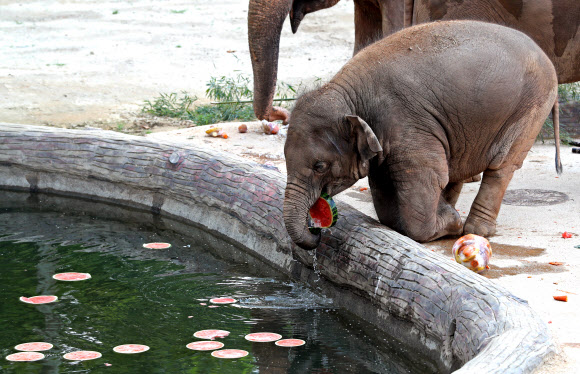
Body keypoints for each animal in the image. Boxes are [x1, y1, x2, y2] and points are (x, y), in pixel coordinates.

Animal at [284, 19, 560, 248]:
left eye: (319, 166)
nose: (316, 232)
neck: (346, 93)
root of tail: (545, 56)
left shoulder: (406, 122)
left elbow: (427, 176)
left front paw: (452, 223)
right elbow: (384, 189)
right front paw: (445, 216)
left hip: (531, 107)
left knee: (501, 167)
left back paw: (475, 230)